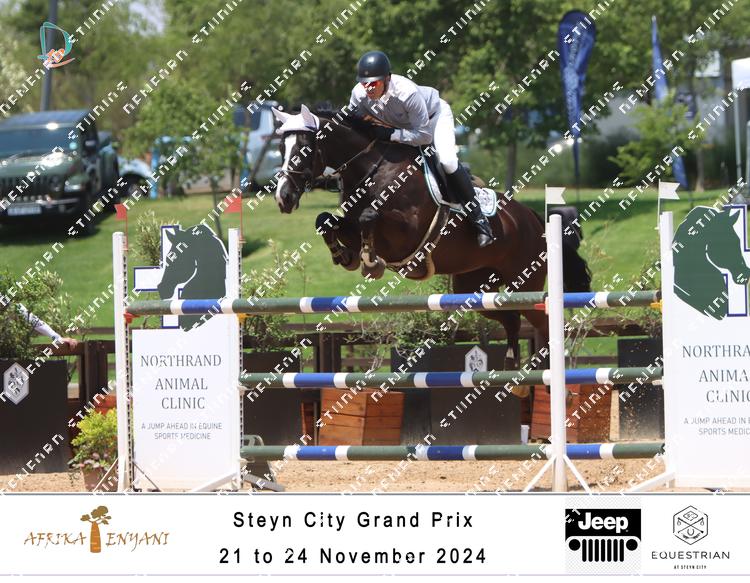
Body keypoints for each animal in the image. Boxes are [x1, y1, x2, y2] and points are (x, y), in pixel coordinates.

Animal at [271, 104, 591, 372]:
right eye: (280, 147)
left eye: (303, 148)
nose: (283, 198)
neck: (372, 170)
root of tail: (534, 218)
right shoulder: (349, 224)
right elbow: (325, 220)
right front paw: (344, 256)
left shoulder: (406, 233)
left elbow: (369, 217)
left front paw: (370, 261)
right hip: (475, 287)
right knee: (511, 319)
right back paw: (514, 372)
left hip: (525, 283)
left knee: (544, 324)